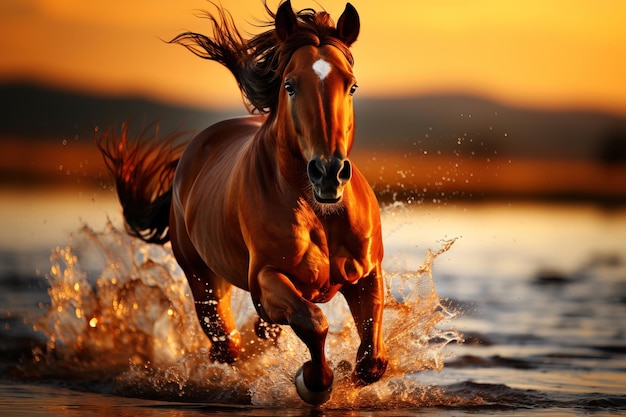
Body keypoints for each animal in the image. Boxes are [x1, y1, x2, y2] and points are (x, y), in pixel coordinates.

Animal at [97, 0, 386, 404]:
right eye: (289, 85)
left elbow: (371, 361)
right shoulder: (267, 279)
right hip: (203, 279)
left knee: (262, 336)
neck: (319, 213)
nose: (328, 172)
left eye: (352, 86)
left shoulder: (366, 273)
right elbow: (312, 322)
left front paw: (345, 374)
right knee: (227, 347)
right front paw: (312, 381)